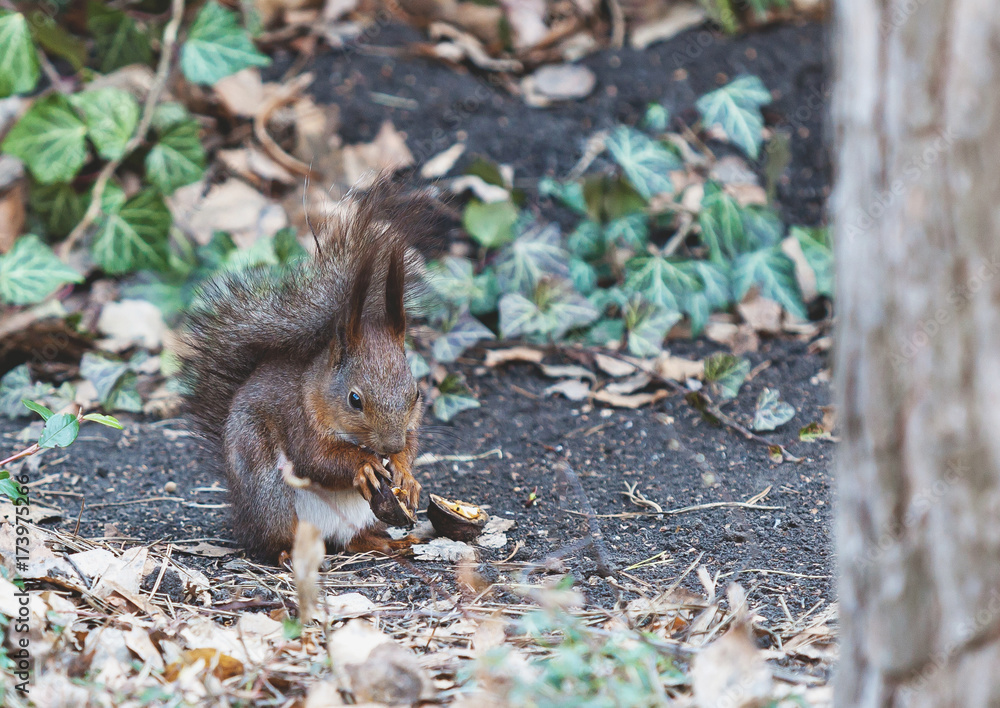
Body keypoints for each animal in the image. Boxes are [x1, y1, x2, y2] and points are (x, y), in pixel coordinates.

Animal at [179, 181, 430, 561]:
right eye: (354, 400)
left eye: (415, 394)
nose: (390, 445)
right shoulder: (299, 421)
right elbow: (317, 460)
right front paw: (363, 465)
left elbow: (412, 446)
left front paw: (405, 472)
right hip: (270, 497)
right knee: (274, 538)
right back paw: (286, 554)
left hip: (359, 518)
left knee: (353, 539)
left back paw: (388, 541)